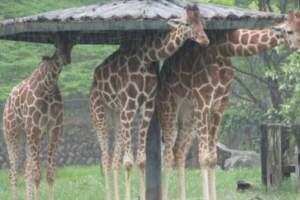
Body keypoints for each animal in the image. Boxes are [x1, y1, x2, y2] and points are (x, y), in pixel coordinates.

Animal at [3, 35, 74, 200]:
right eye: (57, 46)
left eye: (71, 46)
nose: (67, 59)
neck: (48, 86)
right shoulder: (34, 129)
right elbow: (37, 175)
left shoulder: (54, 130)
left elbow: (50, 174)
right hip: (12, 134)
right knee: (13, 173)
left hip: (28, 137)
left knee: (26, 171)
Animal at [89, 4, 209, 200]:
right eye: (186, 24)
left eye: (202, 22)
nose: (204, 40)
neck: (145, 56)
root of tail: (93, 80)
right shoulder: (129, 106)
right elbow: (128, 161)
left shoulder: (147, 105)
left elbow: (141, 159)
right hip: (98, 111)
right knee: (105, 157)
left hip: (116, 115)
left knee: (114, 158)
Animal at [161, 10, 300, 200]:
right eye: (290, 31)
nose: (299, 47)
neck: (225, 48)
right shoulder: (203, 101)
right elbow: (203, 157)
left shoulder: (220, 104)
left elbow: (213, 157)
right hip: (169, 106)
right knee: (167, 153)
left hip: (188, 112)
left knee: (179, 150)